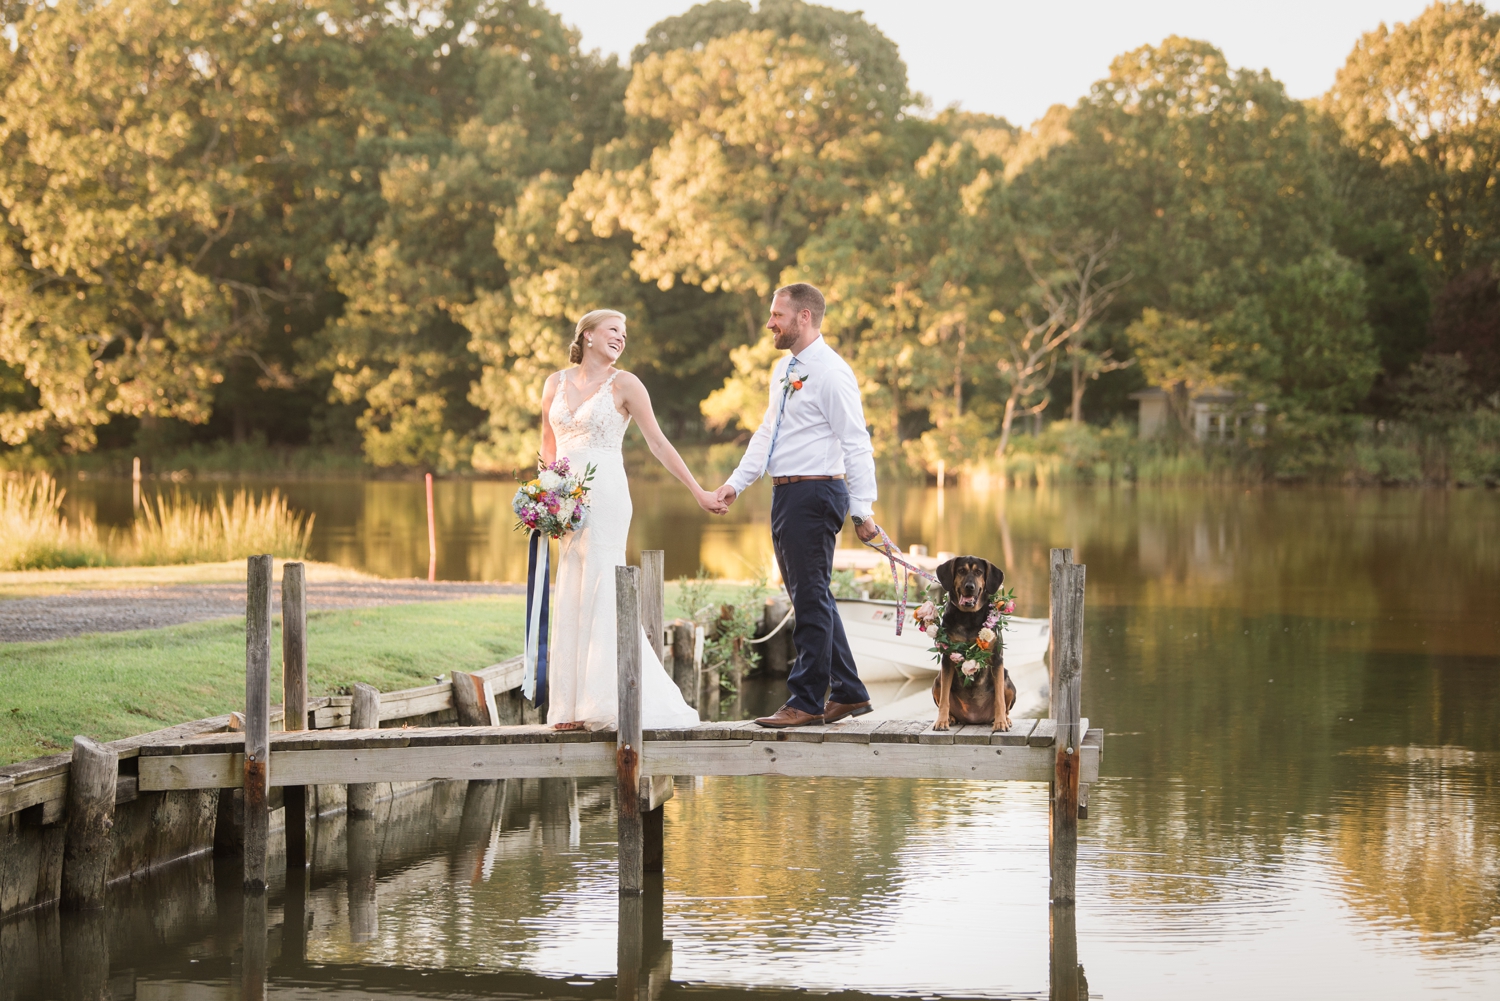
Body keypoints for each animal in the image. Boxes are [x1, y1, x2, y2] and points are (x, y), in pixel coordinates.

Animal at [924, 552, 1020, 732]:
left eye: (979, 572)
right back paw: (951, 718)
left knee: (1005, 703)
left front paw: (1000, 723)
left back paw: (1005, 719)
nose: (970, 586)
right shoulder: (947, 658)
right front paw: (941, 721)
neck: (968, 616)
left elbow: (999, 700)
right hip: (937, 681)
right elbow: (945, 698)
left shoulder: (997, 659)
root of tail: (973, 718)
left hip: (1007, 679)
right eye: (961, 571)